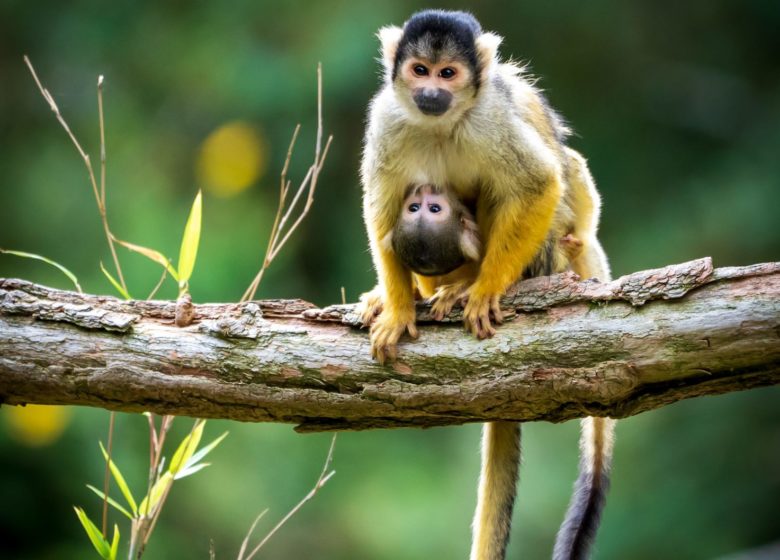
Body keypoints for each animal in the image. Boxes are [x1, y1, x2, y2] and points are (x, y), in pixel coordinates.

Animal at [358, 8, 616, 560]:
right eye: (419, 70)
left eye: (448, 74)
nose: (431, 92)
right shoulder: (388, 118)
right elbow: (382, 209)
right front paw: (397, 308)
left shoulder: (489, 119)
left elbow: (538, 183)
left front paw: (483, 290)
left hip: (553, 252)